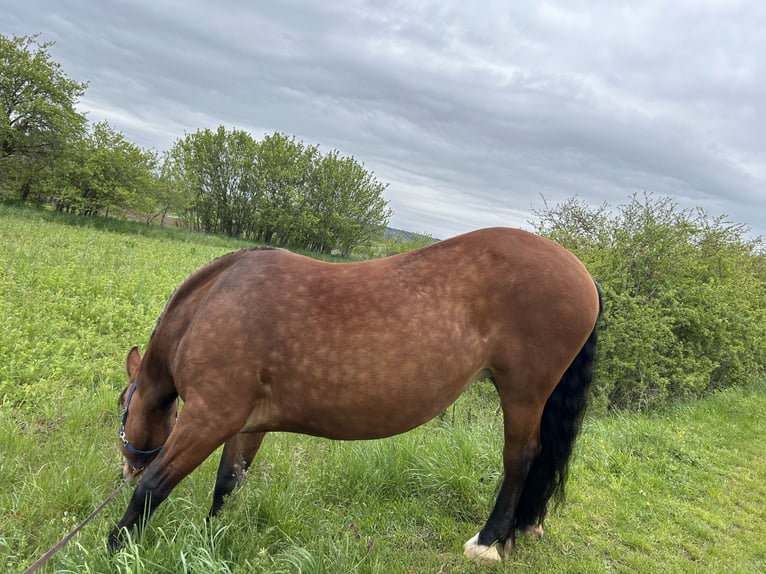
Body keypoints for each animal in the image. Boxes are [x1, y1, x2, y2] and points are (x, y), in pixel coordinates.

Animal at [110, 227, 602, 563]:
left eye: (122, 405)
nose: (127, 469)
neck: (212, 303)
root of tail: (582, 272)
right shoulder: (246, 425)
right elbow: (228, 483)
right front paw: (209, 541)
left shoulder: (209, 418)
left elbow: (153, 491)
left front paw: (114, 548)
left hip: (523, 393)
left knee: (520, 458)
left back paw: (487, 542)